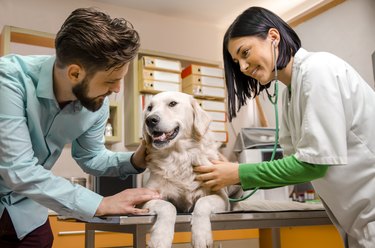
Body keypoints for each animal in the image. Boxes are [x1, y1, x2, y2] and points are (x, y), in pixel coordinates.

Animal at [142, 91, 244, 248]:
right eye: (149, 107)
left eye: (172, 103)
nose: (150, 120)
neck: (180, 157)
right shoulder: (147, 199)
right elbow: (167, 206)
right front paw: (160, 238)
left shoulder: (221, 197)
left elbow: (203, 203)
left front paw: (201, 236)